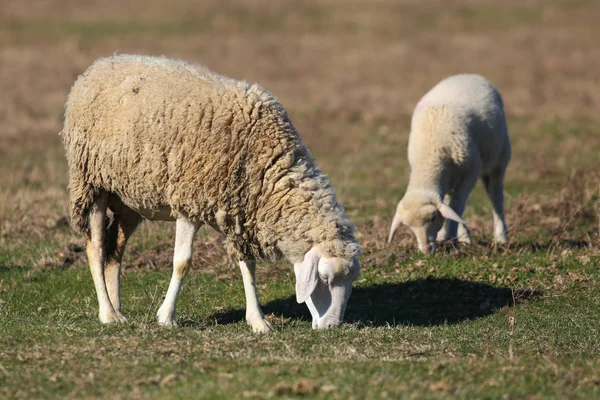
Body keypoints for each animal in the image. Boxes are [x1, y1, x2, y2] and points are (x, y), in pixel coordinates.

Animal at [61, 54, 360, 332]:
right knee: (97, 249)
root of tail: (101, 63)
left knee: (115, 251)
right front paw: (166, 317)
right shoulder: (189, 204)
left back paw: (118, 310)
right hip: (91, 183)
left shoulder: (241, 211)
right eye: (324, 279)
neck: (264, 160)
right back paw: (107, 313)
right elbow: (182, 263)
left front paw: (258, 321)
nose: (333, 327)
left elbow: (248, 266)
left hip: (130, 199)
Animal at [390, 74, 510, 253]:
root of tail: (468, 75)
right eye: (409, 227)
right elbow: (451, 207)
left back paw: (501, 237)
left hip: (499, 159)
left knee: (496, 197)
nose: (426, 249)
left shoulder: (471, 172)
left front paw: (450, 237)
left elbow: (456, 204)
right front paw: (455, 237)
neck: (430, 157)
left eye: (433, 218)